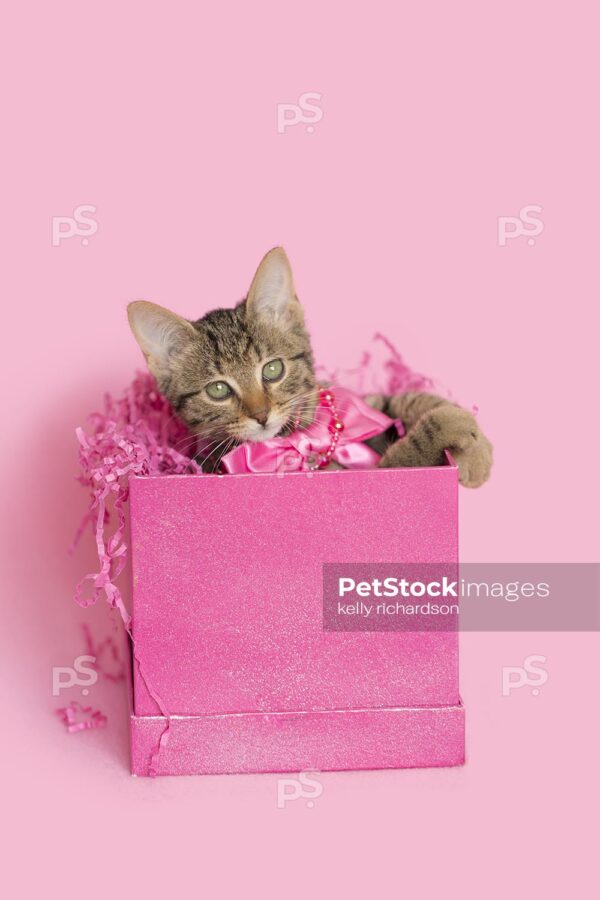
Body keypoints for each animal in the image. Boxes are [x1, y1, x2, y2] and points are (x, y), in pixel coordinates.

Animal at [126, 246, 492, 486]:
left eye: (272, 369)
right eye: (218, 390)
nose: (261, 415)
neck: (303, 436)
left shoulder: (357, 403)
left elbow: (404, 398)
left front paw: (476, 450)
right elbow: (403, 456)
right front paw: (451, 423)